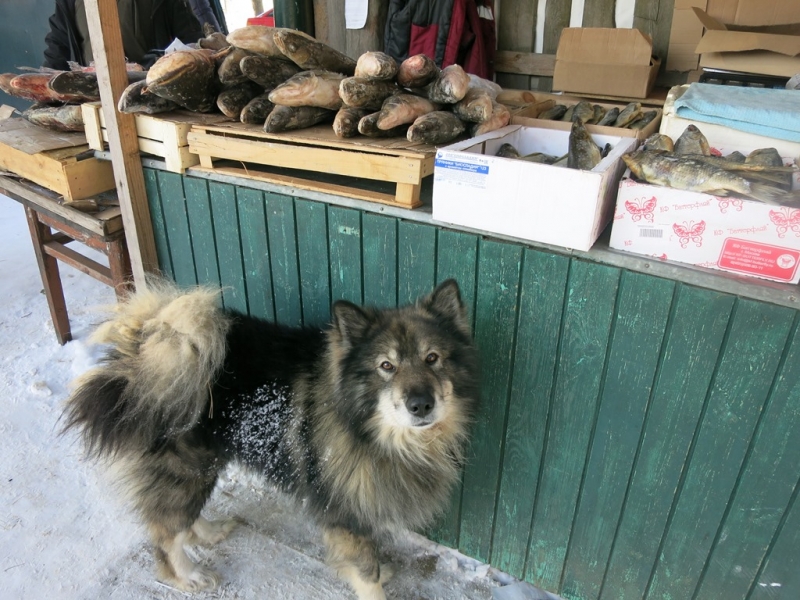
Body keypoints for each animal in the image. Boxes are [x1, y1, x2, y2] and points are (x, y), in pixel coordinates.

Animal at [62, 278, 482, 596]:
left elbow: (370, 562)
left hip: (201, 465)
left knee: (180, 517)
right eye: (386, 366)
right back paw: (187, 575)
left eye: (432, 358)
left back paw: (208, 532)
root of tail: (143, 349)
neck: (371, 432)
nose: (421, 404)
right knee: (165, 532)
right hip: (182, 470)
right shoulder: (343, 514)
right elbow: (366, 574)